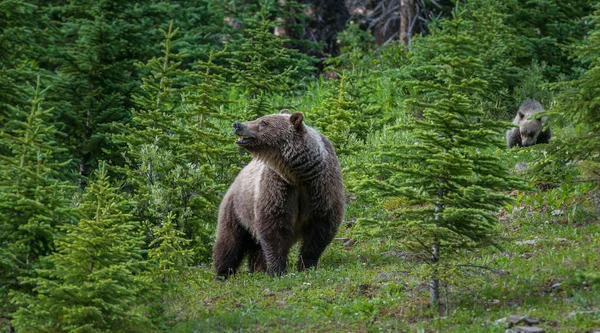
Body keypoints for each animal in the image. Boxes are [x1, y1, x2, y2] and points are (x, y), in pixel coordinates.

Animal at [213, 109, 344, 278]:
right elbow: (274, 228)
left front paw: (306, 265)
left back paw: (257, 268)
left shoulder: (321, 187)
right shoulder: (278, 188)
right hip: (237, 208)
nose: (237, 125)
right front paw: (277, 270)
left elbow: (320, 228)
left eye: (263, 122)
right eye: (260, 118)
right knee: (229, 241)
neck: (297, 175)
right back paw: (223, 273)